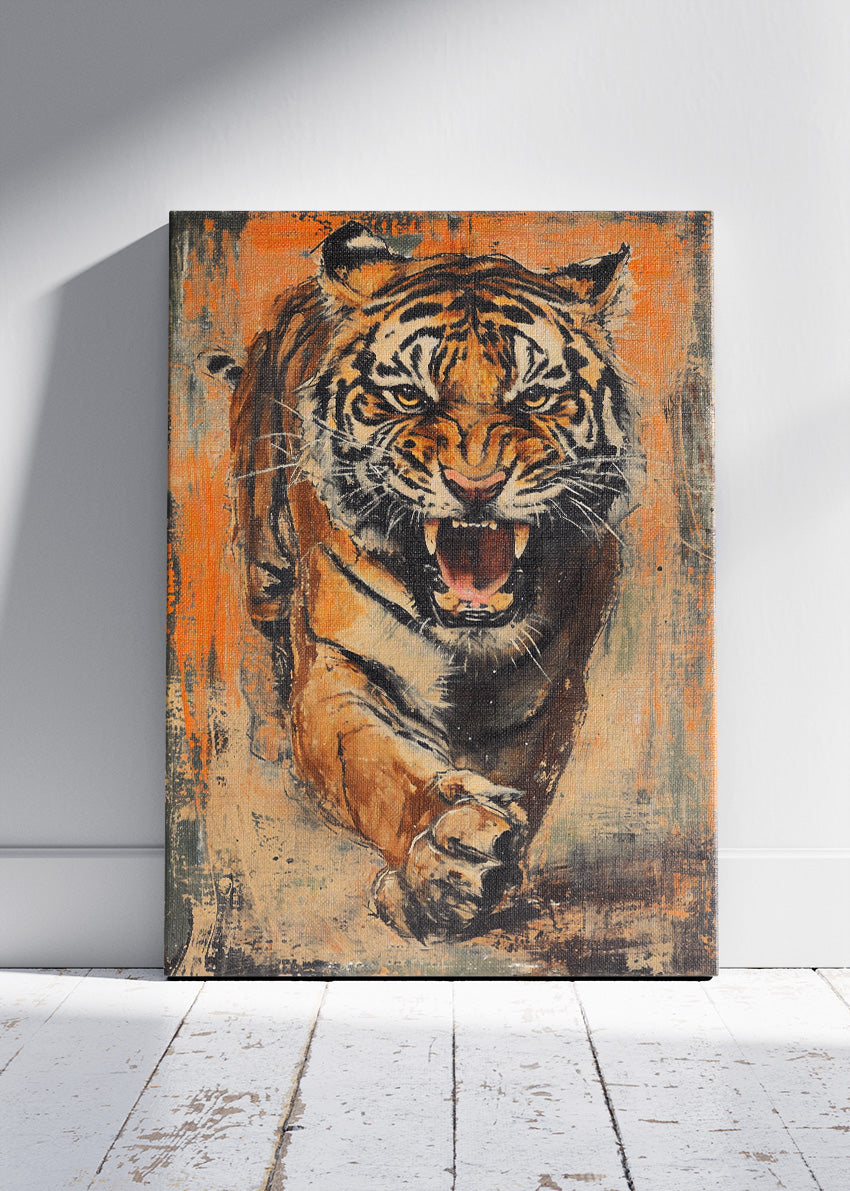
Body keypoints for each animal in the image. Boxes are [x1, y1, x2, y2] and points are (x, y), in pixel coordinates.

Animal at [205, 221, 642, 942]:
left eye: (535, 397)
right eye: (410, 396)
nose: (476, 485)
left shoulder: (550, 690)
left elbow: (525, 775)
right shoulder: (341, 663)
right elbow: (378, 764)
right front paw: (450, 852)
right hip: (264, 560)